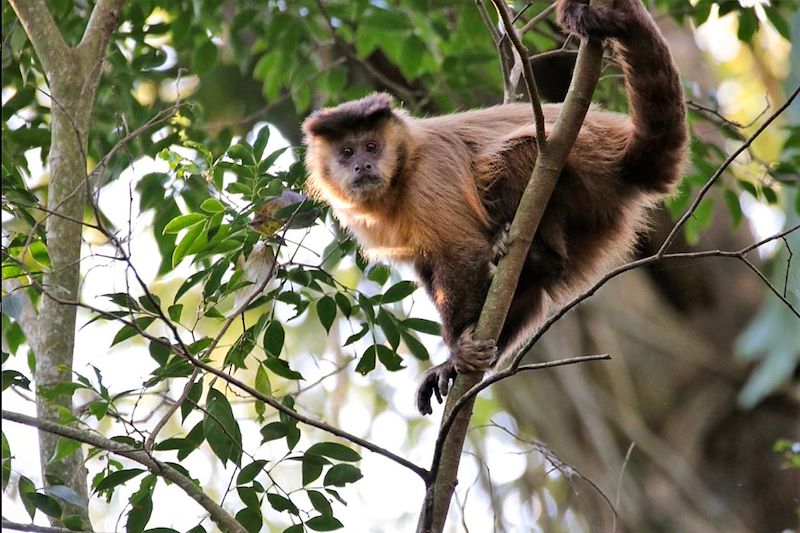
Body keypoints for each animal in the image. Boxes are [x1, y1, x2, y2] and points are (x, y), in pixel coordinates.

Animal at [300, 0, 688, 416]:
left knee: (527, 154)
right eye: (347, 152)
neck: (401, 172)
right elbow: (427, 262)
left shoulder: (429, 172)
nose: (362, 166)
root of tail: (621, 156)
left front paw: (456, 349)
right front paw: (448, 365)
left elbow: (461, 251)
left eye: (371, 147)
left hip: (584, 165)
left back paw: (538, 252)